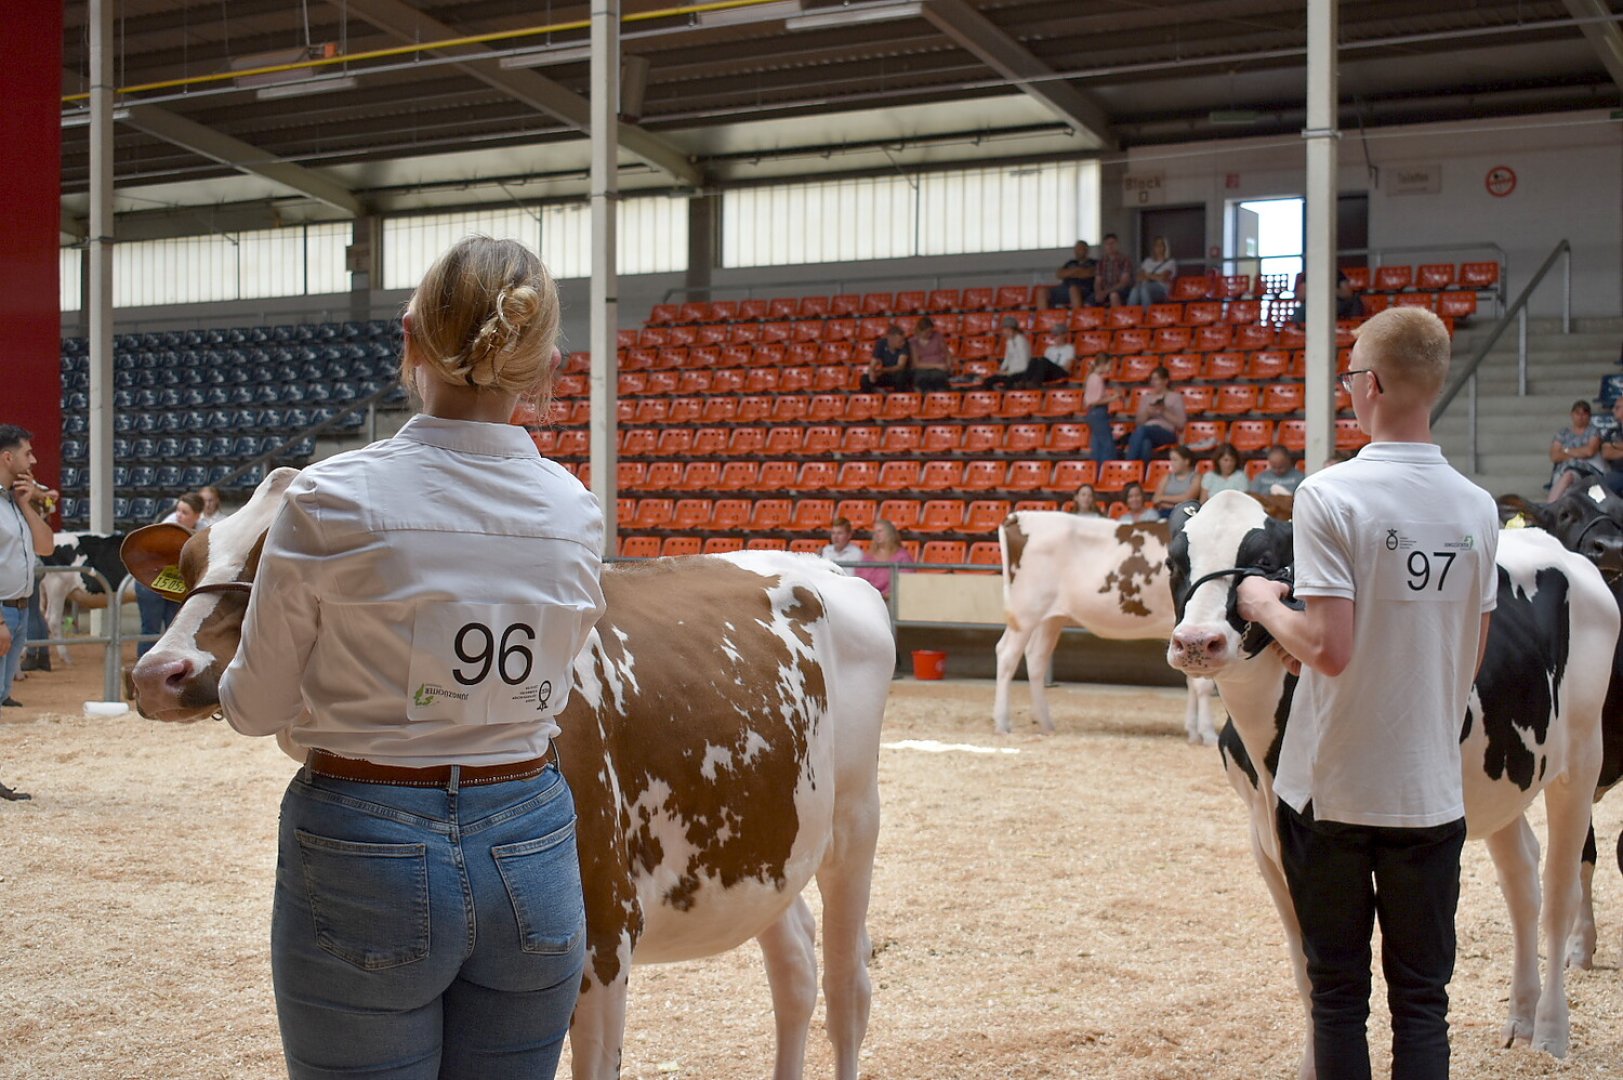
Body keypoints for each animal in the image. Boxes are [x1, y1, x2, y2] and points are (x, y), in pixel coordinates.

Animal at [120, 467, 895, 1078]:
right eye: (189, 562)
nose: (159, 673)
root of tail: (824, 570)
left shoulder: (602, 922)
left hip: (855, 823)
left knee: (845, 988)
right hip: (769, 837)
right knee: (793, 972)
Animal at [986, 513, 1220, 740]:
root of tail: (1019, 516)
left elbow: (1193, 680)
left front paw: (1194, 732)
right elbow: (1203, 683)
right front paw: (1208, 734)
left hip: (1050, 618)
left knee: (1036, 657)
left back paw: (1046, 724)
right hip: (1026, 611)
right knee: (1007, 653)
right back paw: (1003, 723)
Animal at [1168, 493, 1610, 1071]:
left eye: (1264, 561)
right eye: (1176, 562)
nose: (1198, 641)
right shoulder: (1264, 837)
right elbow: (1306, 965)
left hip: (1581, 757)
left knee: (1560, 888)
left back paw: (1552, 1034)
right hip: (1501, 776)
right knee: (1523, 883)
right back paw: (1521, 1019)